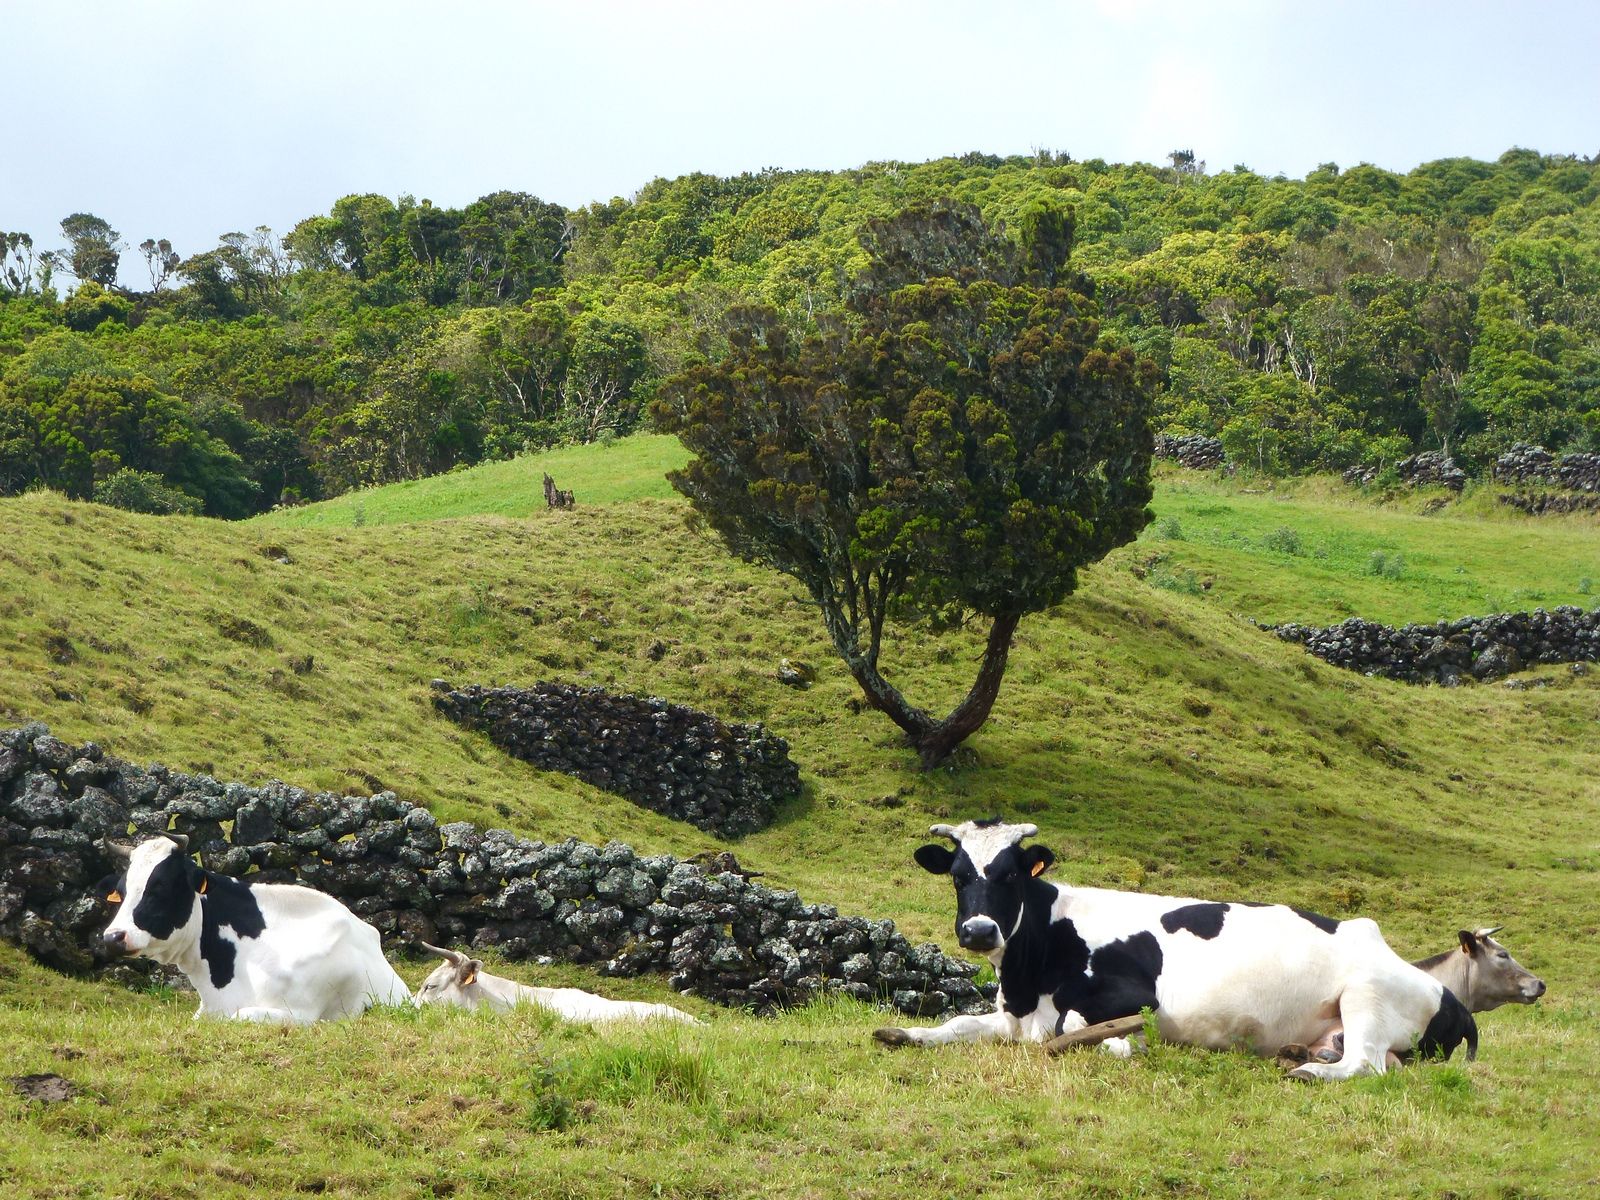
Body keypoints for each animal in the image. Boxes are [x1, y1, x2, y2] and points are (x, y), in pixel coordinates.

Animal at [876, 825, 1472, 1088]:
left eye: (1009, 875)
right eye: (959, 877)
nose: (978, 930)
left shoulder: (1130, 996)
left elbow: (1081, 1030)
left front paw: (1117, 1044)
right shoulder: (1013, 1013)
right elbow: (957, 1024)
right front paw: (905, 1034)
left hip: (1368, 993)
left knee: (1366, 1063)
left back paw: (1306, 1069)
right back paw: (1300, 1053)